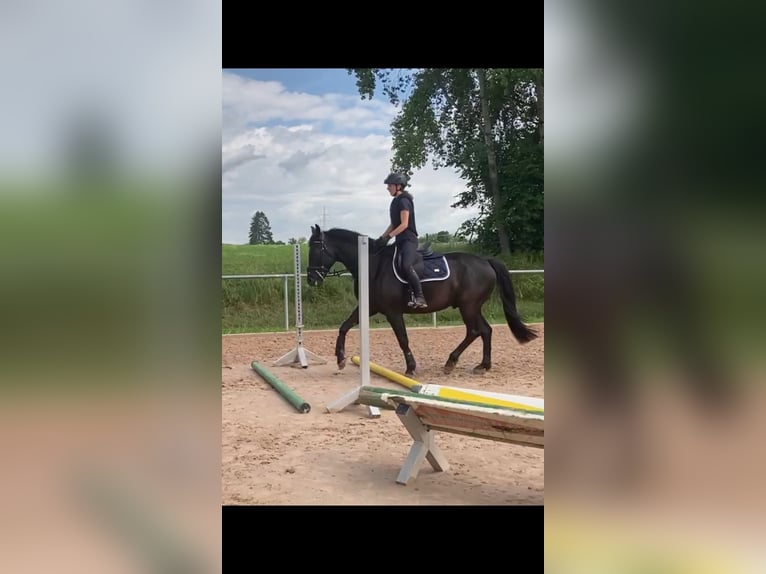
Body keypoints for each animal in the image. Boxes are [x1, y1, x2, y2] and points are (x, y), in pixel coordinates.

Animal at [306, 225, 540, 378]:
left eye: (316, 248)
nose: (311, 279)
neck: (373, 265)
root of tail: (485, 261)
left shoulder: (392, 311)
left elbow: (402, 339)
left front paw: (410, 368)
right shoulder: (370, 307)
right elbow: (344, 326)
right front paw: (340, 358)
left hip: (468, 307)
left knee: (474, 331)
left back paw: (451, 362)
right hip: (472, 307)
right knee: (485, 330)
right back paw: (483, 365)